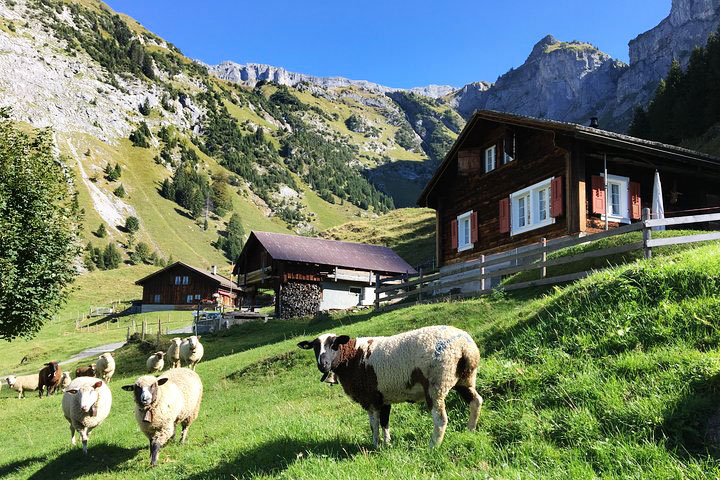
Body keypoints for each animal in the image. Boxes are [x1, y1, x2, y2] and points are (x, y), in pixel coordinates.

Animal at [298, 324, 484, 448]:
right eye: (315, 347)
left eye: (334, 344)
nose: (323, 365)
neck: (352, 357)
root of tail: (464, 347)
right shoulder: (384, 397)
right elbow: (385, 422)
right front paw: (387, 444)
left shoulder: (370, 398)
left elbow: (373, 424)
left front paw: (375, 445)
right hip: (464, 379)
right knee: (476, 401)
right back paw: (470, 431)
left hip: (436, 384)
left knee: (441, 419)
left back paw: (433, 446)